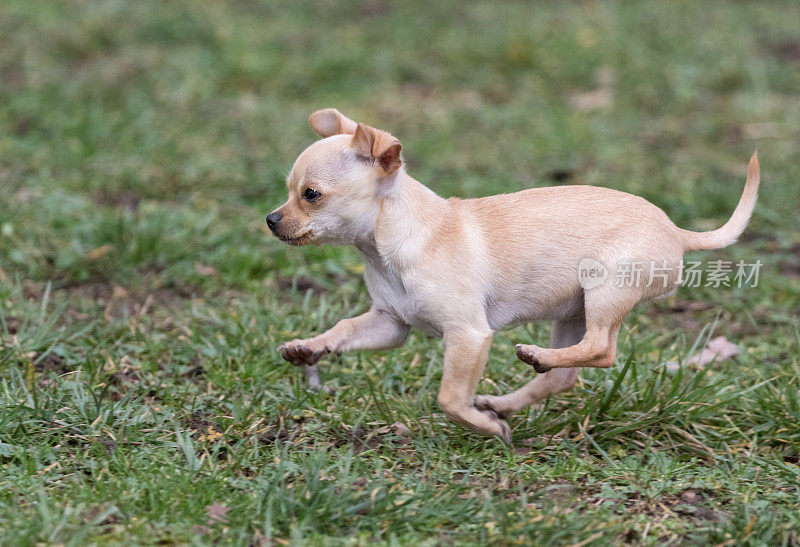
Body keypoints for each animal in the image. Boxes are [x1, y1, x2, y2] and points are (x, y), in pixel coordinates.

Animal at [268, 109, 756, 448]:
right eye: (289, 192)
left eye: (310, 195)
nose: (271, 219)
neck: (389, 247)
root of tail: (677, 232)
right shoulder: (391, 323)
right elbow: (344, 329)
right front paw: (309, 347)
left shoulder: (468, 335)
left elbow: (449, 398)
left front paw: (484, 429)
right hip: (574, 310)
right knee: (566, 375)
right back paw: (506, 398)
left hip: (606, 289)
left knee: (602, 349)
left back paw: (531, 363)